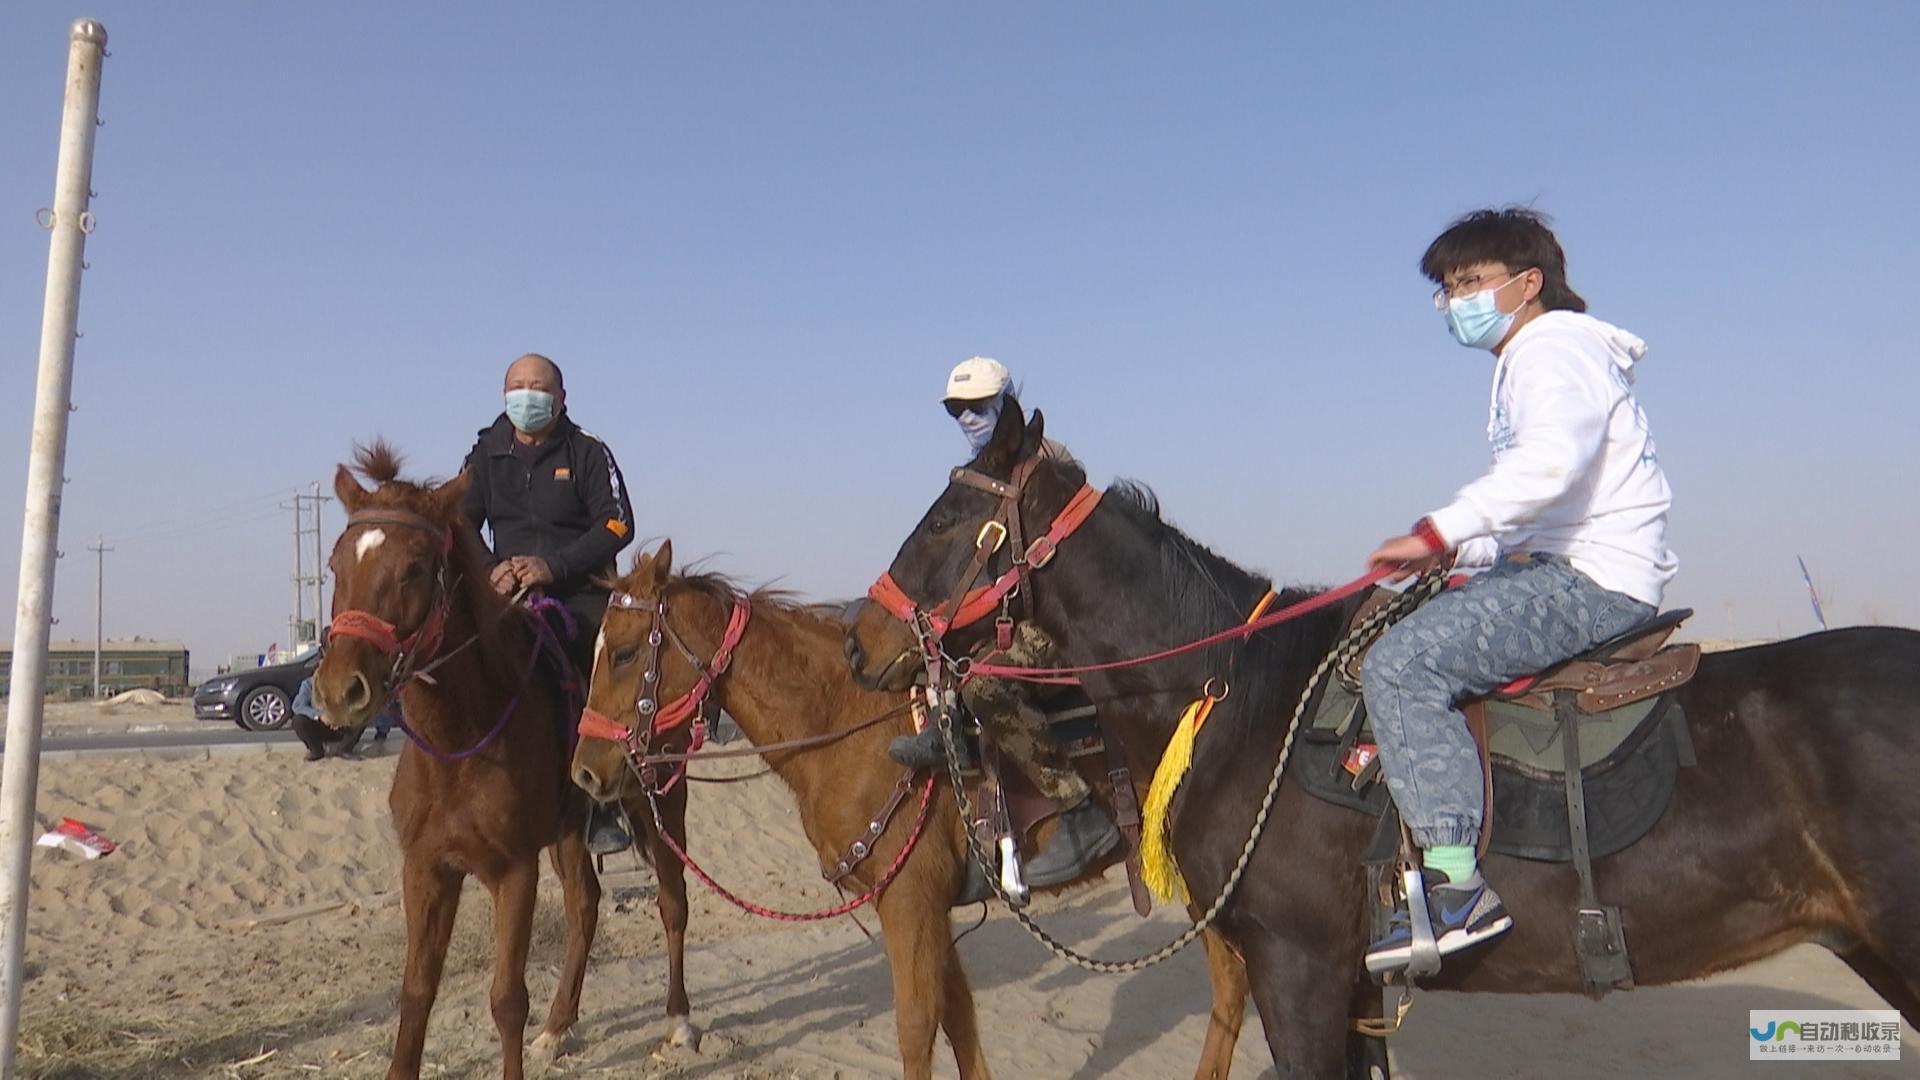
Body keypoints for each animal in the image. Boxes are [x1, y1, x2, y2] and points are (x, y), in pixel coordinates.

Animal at [314, 441, 698, 1068]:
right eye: (335, 566)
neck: (457, 747)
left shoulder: (513, 872)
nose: (337, 690)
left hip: (659, 807)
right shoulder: (426, 868)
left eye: (415, 567)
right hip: (570, 830)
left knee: (672, 903)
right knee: (585, 906)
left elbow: (507, 1000)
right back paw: (560, 1024)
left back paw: (679, 1021)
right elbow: (416, 992)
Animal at [564, 541, 1259, 1076]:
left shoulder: (909, 904)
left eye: (623, 652)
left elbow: (916, 1028)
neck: (849, 728)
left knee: (1236, 981)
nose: (585, 771)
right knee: (1232, 984)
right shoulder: (926, 908)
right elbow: (959, 1022)